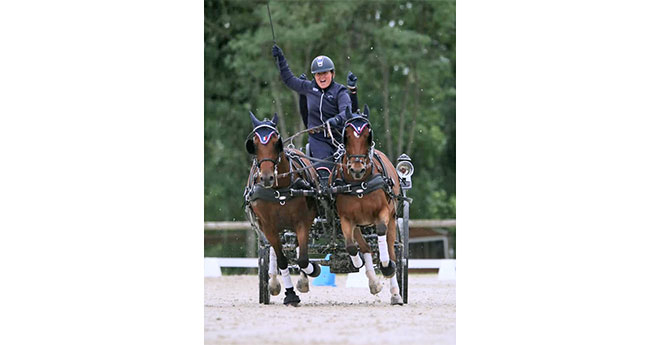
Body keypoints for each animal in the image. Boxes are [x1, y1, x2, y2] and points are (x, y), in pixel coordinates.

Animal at [245, 111, 322, 306]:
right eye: (254, 143)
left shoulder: (302, 222)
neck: (279, 190)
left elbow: (303, 259)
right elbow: (282, 260)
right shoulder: (268, 227)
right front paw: (290, 294)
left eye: (275, 141)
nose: (266, 178)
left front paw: (313, 270)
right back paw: (273, 282)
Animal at [330, 105, 402, 304]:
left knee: (391, 249)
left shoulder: (383, 212)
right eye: (346, 135)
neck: (358, 184)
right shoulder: (346, 219)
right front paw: (358, 263)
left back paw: (395, 292)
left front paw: (386, 265)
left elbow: (380, 233)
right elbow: (351, 247)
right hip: (358, 225)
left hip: (393, 218)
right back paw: (374, 282)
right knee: (366, 248)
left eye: (368, 135)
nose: (357, 169)